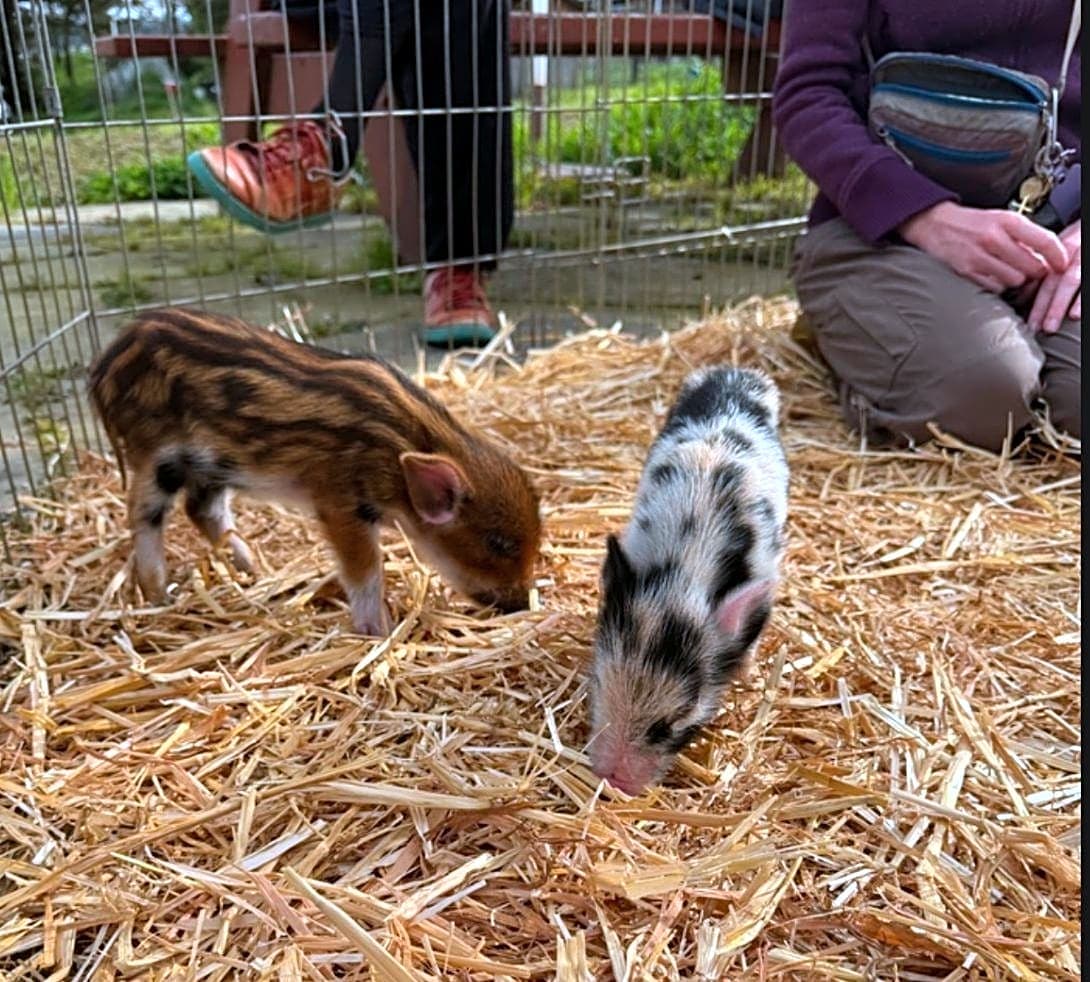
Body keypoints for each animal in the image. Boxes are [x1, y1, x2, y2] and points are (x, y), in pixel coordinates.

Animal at [88, 307, 542, 635]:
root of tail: (102, 366)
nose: (521, 605)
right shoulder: (340, 502)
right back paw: (159, 595)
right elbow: (365, 571)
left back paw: (255, 572)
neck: (400, 446)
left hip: (214, 467)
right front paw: (378, 631)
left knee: (202, 510)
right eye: (498, 543)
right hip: (154, 456)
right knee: (143, 514)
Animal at [587, 364, 788, 794]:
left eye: (671, 724)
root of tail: (736, 373)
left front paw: (744, 672)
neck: (686, 567)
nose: (612, 780)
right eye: (598, 681)